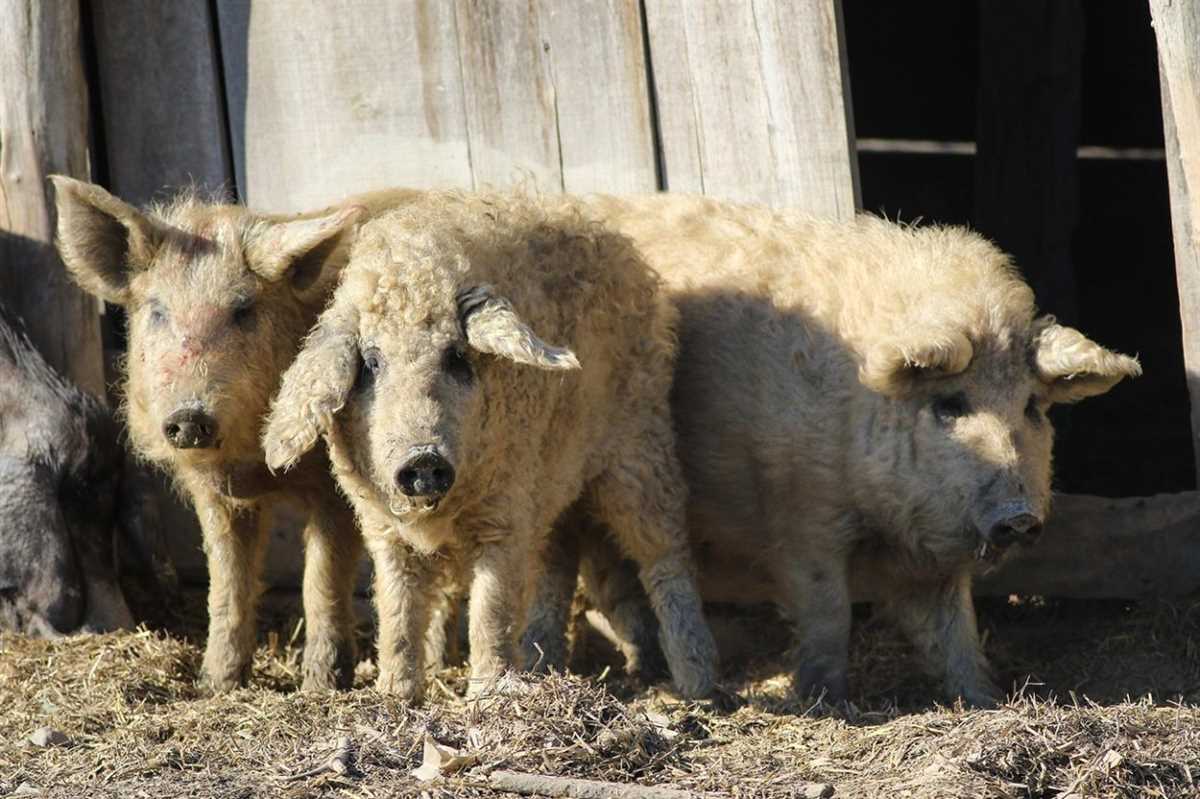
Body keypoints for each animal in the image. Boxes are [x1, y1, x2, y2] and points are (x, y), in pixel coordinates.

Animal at [52, 177, 422, 686]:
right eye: (158, 310)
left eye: (243, 310)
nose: (190, 417)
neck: (253, 465)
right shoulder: (216, 495)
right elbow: (227, 578)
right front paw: (215, 685)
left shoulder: (336, 487)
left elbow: (321, 578)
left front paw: (320, 688)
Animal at [556, 193, 1137, 705]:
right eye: (950, 405)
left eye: (1032, 406)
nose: (1018, 516)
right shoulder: (801, 520)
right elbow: (829, 611)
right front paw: (827, 701)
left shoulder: (935, 550)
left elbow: (955, 625)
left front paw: (984, 699)